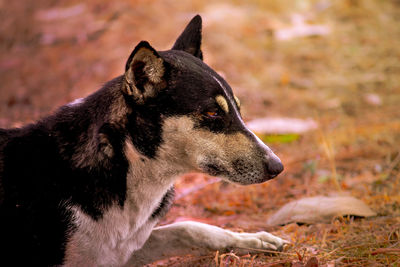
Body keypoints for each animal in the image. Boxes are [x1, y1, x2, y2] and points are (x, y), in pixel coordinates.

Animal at [0, 15, 284, 267]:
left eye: (238, 109)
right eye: (212, 113)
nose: (278, 167)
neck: (125, 166)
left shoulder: (117, 251)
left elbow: (189, 228)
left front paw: (254, 240)